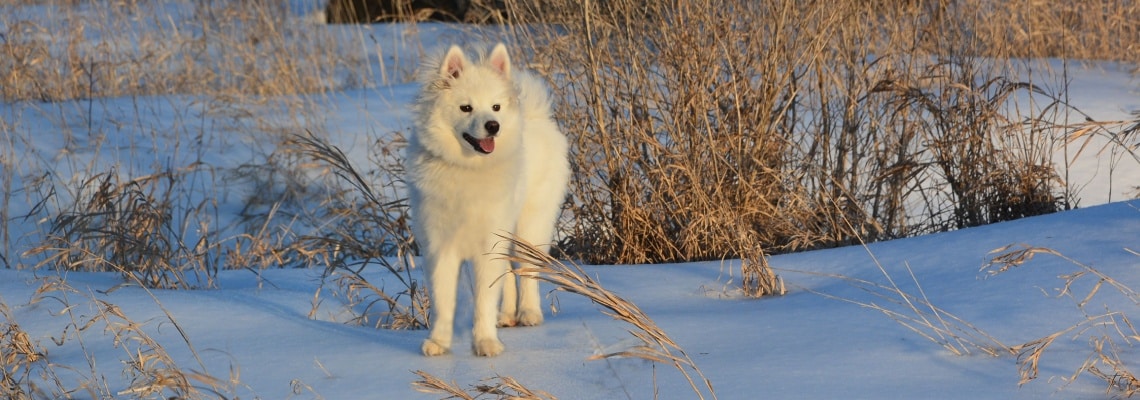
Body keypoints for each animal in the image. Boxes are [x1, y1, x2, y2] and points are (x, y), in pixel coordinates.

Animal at [408, 43, 570, 357]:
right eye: (466, 107)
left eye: (495, 107)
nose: (493, 125)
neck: (467, 168)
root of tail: (537, 117)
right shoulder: (440, 246)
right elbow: (444, 300)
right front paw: (439, 343)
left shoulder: (487, 245)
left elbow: (484, 298)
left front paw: (485, 343)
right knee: (508, 272)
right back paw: (507, 315)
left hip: (530, 227)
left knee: (527, 271)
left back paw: (529, 313)